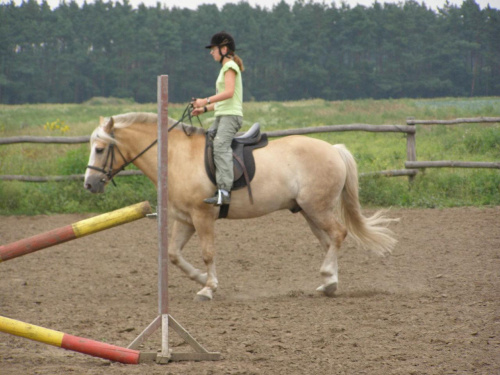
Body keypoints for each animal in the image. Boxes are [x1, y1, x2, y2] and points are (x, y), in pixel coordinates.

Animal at [86, 112, 398, 302]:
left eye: (99, 149)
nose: (89, 184)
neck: (176, 156)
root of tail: (333, 148)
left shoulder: (202, 216)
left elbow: (208, 253)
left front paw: (208, 288)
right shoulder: (185, 219)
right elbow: (174, 254)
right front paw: (201, 278)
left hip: (318, 208)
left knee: (338, 235)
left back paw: (328, 280)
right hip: (309, 212)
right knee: (329, 240)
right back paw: (329, 282)